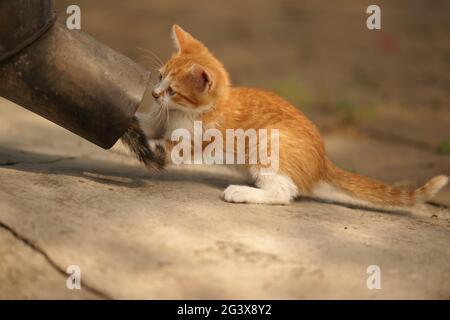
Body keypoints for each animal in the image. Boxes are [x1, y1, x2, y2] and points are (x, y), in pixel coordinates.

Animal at [121, 24, 448, 205]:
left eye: (173, 90)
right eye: (159, 78)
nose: (154, 94)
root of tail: (322, 162)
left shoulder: (191, 142)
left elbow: (163, 148)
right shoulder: (159, 120)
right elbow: (144, 125)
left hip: (268, 141)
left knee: (284, 192)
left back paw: (243, 193)